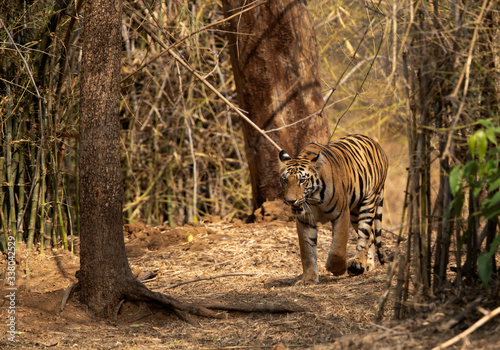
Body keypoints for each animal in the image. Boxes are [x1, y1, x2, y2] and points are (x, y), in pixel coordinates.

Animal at [280, 134, 388, 284]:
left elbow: (338, 247)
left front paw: (337, 269)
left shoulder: (341, 214)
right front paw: (309, 279)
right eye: (285, 181)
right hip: (355, 213)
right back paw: (368, 264)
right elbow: (307, 251)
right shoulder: (305, 221)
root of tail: (377, 144)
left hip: (368, 201)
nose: (290, 200)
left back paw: (358, 263)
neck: (313, 199)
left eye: (302, 181)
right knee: (371, 236)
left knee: (364, 234)